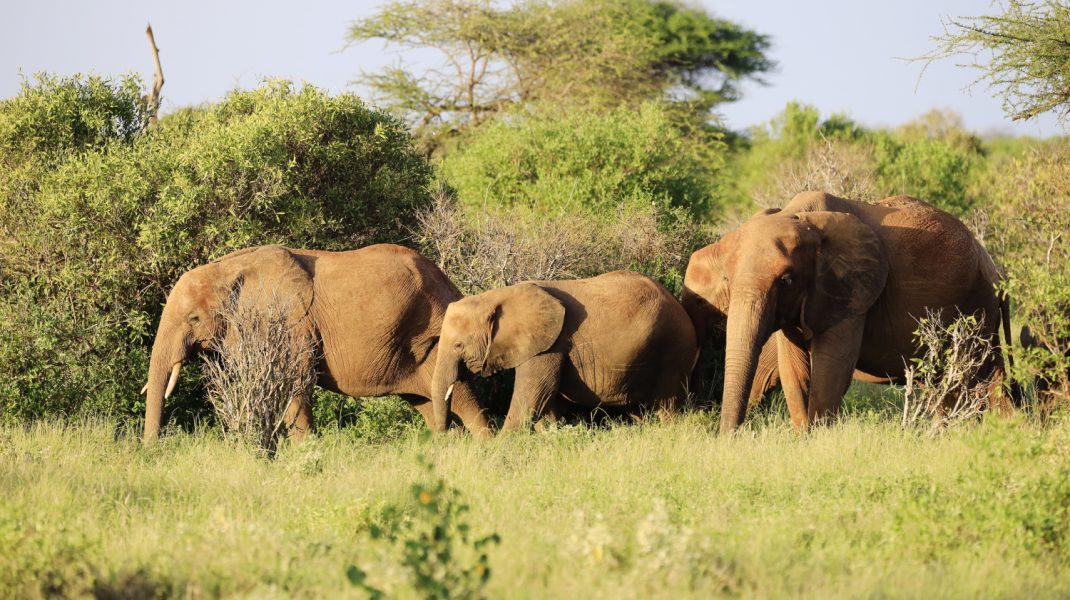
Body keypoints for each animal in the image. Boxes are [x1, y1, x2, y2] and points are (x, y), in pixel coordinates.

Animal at [142, 240, 492, 442]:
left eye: (193, 319)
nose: (151, 452)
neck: (228, 268)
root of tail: (450, 283)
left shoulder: (293, 323)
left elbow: (294, 381)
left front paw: (305, 454)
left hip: (437, 335)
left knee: (460, 396)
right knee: (431, 404)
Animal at [430, 271, 697, 429]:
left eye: (458, 345)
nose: (445, 437)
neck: (495, 296)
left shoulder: (551, 344)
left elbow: (533, 396)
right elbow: (547, 400)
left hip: (673, 349)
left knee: (667, 408)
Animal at [680, 191, 1014, 429]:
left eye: (786, 280)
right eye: (727, 280)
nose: (727, 437)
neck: (803, 218)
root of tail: (995, 268)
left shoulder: (850, 292)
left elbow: (831, 369)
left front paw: (815, 442)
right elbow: (794, 370)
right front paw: (803, 437)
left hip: (975, 307)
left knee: (972, 377)